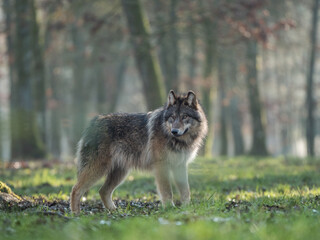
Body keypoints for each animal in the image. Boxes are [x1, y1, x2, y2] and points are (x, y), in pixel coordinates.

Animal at [70, 90, 208, 214]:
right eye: (172, 118)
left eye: (185, 117)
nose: (174, 131)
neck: (177, 140)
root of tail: (93, 121)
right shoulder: (162, 166)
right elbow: (167, 191)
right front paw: (170, 208)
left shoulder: (180, 166)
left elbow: (186, 191)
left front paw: (186, 208)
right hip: (98, 169)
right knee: (76, 189)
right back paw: (76, 214)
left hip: (120, 173)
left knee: (103, 191)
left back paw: (115, 211)